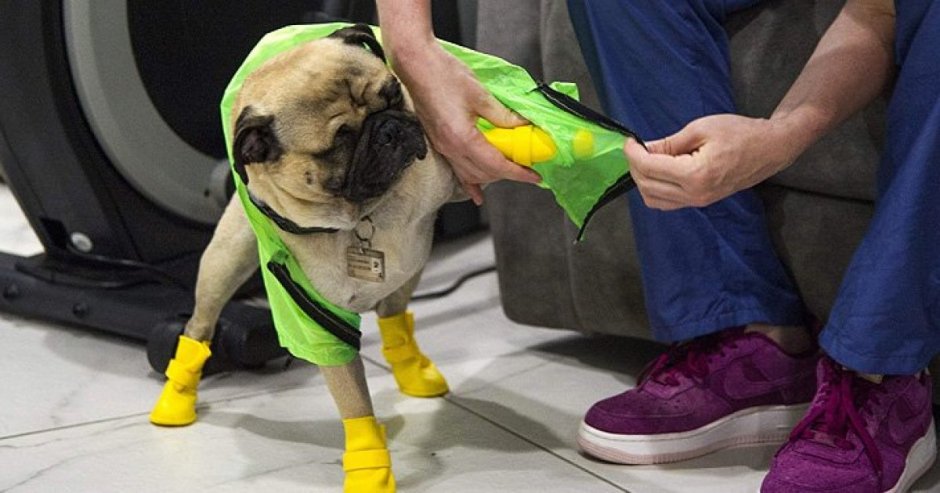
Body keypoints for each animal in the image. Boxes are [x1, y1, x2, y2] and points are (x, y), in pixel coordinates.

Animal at [148, 25, 466, 490]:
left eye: (393, 94)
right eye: (341, 140)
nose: (389, 127)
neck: (362, 215)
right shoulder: (321, 327)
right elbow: (355, 405)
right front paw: (371, 467)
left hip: (410, 271)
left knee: (394, 319)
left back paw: (411, 368)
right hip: (223, 265)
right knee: (198, 327)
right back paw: (176, 400)